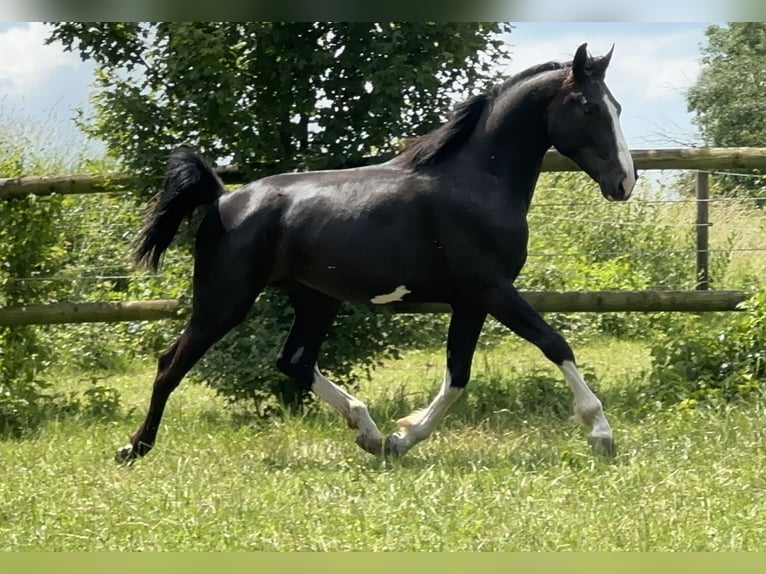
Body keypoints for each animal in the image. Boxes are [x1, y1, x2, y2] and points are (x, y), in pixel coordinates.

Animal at [117, 42, 640, 466]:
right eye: (589, 106)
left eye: (617, 106)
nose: (625, 182)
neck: (476, 183)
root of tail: (223, 199)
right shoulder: (492, 289)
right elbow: (554, 343)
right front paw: (600, 433)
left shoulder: (471, 300)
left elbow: (458, 375)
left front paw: (400, 439)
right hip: (223, 301)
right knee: (170, 363)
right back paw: (134, 448)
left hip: (315, 299)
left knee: (295, 361)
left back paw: (367, 432)